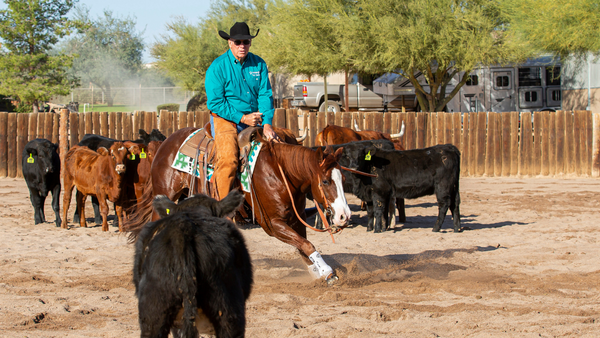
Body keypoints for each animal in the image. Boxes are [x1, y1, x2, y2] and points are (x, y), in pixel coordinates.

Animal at [125, 127, 352, 282]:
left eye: (343, 179)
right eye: (325, 181)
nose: (344, 216)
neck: (280, 172)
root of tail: (165, 143)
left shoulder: (297, 219)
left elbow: (302, 247)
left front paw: (316, 272)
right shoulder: (272, 224)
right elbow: (306, 245)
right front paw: (327, 272)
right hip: (165, 194)